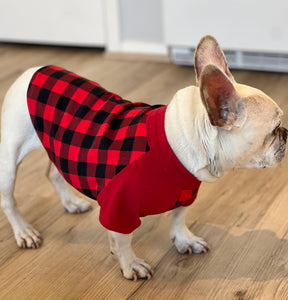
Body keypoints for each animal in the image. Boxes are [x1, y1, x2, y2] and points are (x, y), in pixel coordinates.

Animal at [0, 35, 286, 282]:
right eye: (273, 130)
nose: (285, 133)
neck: (179, 140)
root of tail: (32, 71)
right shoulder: (118, 207)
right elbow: (123, 239)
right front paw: (130, 264)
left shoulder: (186, 192)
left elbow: (179, 216)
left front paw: (184, 239)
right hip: (10, 158)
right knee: (8, 201)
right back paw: (24, 231)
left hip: (58, 146)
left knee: (53, 173)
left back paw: (71, 203)